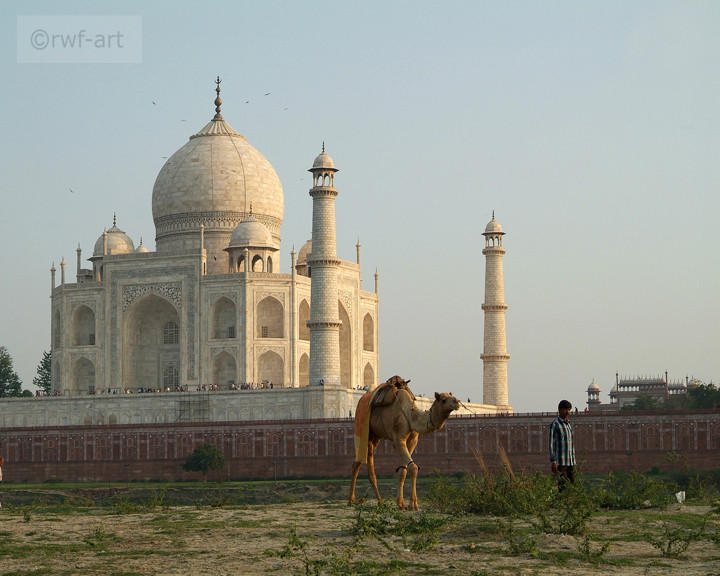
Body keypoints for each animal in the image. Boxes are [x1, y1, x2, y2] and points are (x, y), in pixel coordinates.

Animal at [348, 378, 462, 508]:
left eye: (450, 395)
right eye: (443, 399)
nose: (457, 401)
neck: (410, 415)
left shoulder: (413, 440)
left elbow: (403, 471)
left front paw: (401, 503)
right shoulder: (398, 439)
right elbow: (413, 467)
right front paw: (413, 504)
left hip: (375, 436)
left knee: (364, 458)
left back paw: (377, 500)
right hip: (363, 427)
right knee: (360, 461)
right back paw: (353, 500)